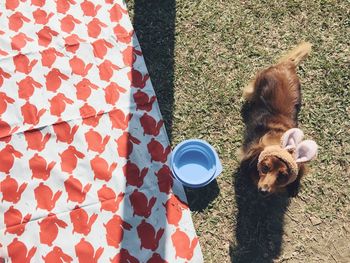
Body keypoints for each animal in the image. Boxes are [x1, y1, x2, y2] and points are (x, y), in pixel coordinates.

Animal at [241, 42, 318, 197]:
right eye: (265, 167)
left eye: (282, 175)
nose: (263, 191)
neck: (278, 137)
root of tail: (287, 66)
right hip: (256, 84)